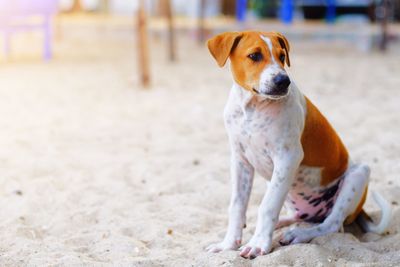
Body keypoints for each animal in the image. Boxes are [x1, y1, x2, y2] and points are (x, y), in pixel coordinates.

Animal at [205, 30, 392, 260]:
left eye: (282, 56)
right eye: (254, 56)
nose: (283, 80)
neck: (253, 107)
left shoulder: (288, 158)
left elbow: (267, 205)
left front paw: (258, 244)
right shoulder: (240, 161)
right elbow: (237, 206)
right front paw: (228, 244)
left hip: (358, 175)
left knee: (331, 224)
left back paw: (299, 234)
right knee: (299, 215)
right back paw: (284, 224)